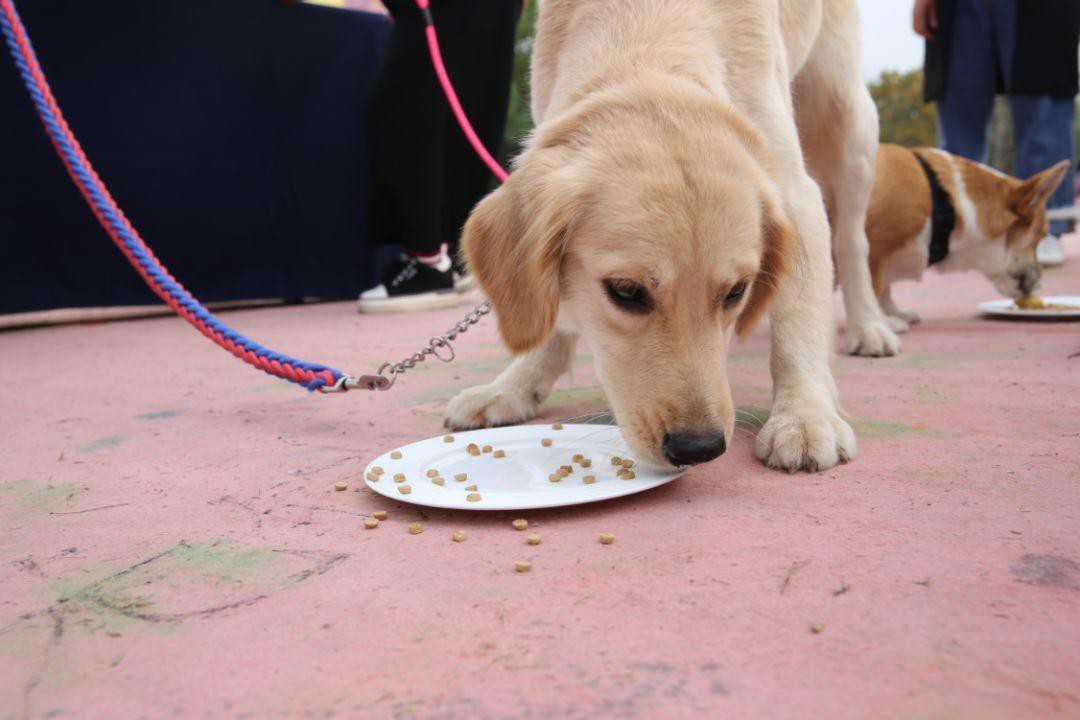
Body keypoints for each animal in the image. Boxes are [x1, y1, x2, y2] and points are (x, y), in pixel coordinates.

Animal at [442, 0, 889, 472]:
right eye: (625, 291)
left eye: (736, 291)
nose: (700, 448)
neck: (645, 29)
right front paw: (512, 387)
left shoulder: (795, 191)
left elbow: (798, 321)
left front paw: (804, 414)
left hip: (846, 118)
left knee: (852, 242)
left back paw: (869, 325)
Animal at [864, 143, 1067, 330]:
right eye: (1042, 235)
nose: (1040, 285)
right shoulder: (875, 252)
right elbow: (874, 288)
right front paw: (880, 323)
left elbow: (886, 291)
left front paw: (896, 313)